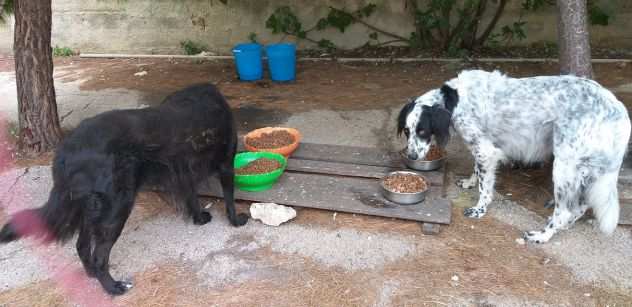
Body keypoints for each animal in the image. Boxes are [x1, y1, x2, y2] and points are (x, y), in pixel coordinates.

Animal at [0, 83, 249, 296]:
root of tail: (65, 150)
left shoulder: (183, 171)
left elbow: (192, 196)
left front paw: (199, 218)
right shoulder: (226, 165)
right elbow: (229, 199)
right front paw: (237, 221)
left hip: (91, 209)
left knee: (82, 246)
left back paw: (92, 275)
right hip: (116, 207)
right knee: (100, 257)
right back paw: (113, 287)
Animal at [398, 71, 628, 244]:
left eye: (422, 131)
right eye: (407, 131)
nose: (411, 156)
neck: (454, 99)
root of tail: (619, 112)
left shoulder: (485, 151)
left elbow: (485, 187)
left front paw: (479, 209)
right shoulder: (482, 147)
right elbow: (476, 171)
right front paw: (469, 182)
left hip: (564, 166)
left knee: (565, 211)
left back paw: (543, 235)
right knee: (579, 206)